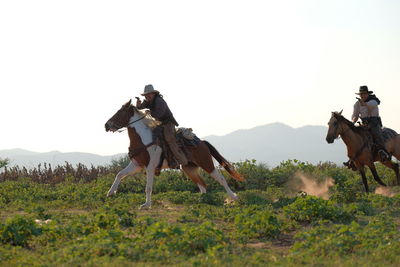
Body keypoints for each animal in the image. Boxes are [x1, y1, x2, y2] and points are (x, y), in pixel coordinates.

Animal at [104, 99, 245, 210]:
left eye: (119, 112)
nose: (106, 125)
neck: (143, 138)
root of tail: (202, 142)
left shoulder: (150, 167)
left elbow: (148, 187)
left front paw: (146, 205)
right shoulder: (137, 164)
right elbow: (120, 174)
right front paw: (110, 193)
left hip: (206, 163)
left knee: (220, 178)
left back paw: (234, 198)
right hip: (189, 168)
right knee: (202, 184)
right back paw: (202, 201)